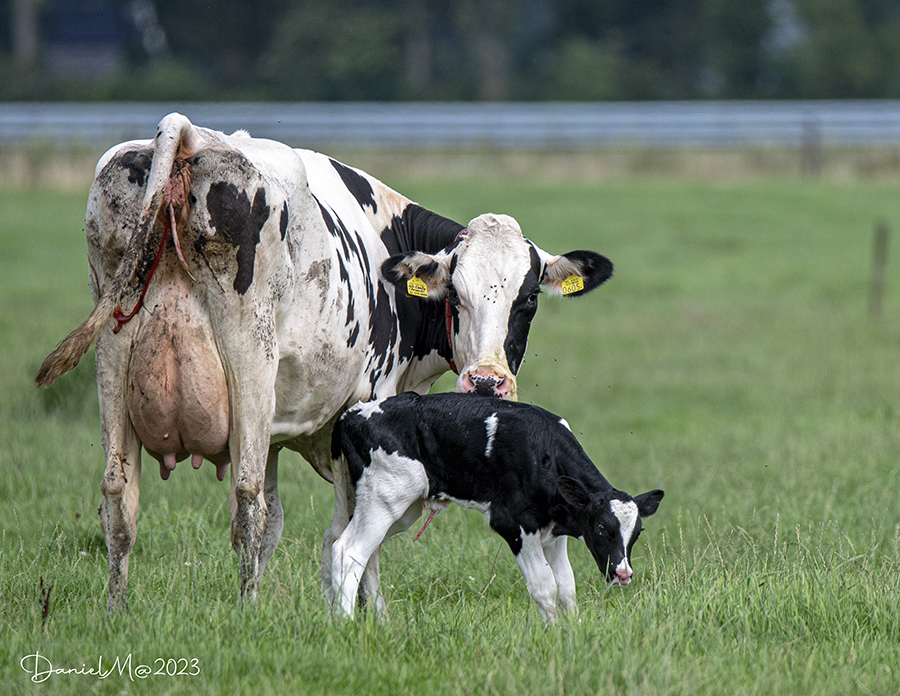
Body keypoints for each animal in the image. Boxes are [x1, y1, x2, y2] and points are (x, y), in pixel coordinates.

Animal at [35, 113, 612, 608]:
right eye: (455, 294)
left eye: (528, 298)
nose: (488, 383)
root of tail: (190, 135)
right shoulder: (370, 405)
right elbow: (351, 531)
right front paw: (373, 617)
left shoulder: (278, 432)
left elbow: (283, 528)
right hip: (249, 353)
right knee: (245, 498)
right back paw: (247, 614)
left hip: (114, 352)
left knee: (119, 497)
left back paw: (117, 611)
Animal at [328, 388, 660, 624]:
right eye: (602, 527)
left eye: (638, 532)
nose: (623, 573)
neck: (543, 451)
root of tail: (355, 413)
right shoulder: (515, 525)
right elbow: (545, 586)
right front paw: (553, 632)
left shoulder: (554, 533)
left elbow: (566, 587)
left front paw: (573, 632)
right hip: (386, 496)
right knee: (348, 551)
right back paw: (344, 624)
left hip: (399, 509)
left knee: (365, 554)